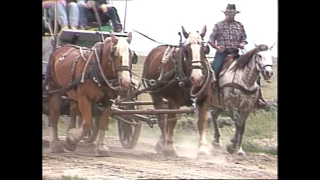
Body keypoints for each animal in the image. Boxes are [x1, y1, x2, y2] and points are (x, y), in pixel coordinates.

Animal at [142, 25, 212, 158]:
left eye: (205, 49)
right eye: (186, 50)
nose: (197, 78)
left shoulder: (204, 99)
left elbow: (201, 122)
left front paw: (202, 149)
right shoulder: (173, 101)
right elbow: (172, 121)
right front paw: (169, 147)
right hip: (155, 94)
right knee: (161, 118)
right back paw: (163, 143)